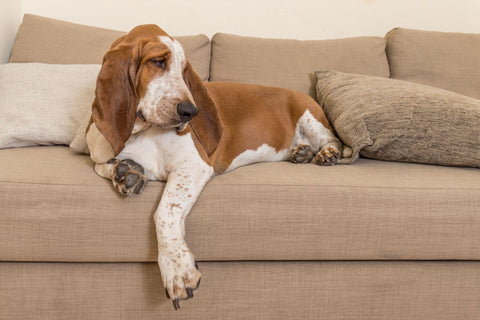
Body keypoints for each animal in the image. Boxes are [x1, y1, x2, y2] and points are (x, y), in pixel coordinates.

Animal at [85, 25, 348, 310]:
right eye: (158, 62)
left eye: (184, 69)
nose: (191, 112)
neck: (140, 131)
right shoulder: (99, 150)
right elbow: (100, 166)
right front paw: (125, 172)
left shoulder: (193, 167)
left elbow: (164, 212)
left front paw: (176, 269)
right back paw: (301, 153)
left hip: (311, 119)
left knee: (332, 140)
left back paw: (325, 154)